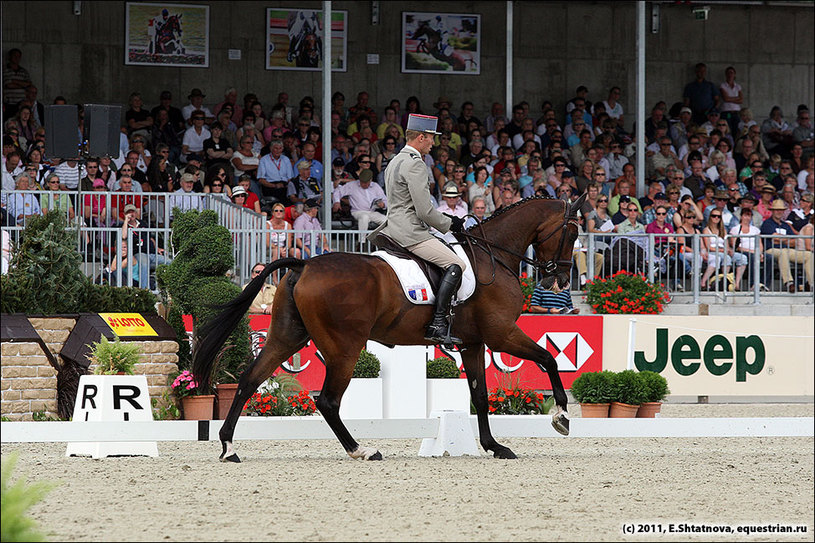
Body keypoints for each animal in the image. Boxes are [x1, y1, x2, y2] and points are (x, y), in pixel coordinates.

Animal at [191, 193, 588, 462]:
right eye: (572, 233)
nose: (559, 280)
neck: (495, 256)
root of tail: (304, 265)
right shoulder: (501, 334)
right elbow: (549, 360)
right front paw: (562, 417)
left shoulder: (473, 343)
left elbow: (480, 395)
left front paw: (494, 446)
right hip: (344, 346)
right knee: (328, 400)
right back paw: (361, 450)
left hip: (287, 336)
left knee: (249, 380)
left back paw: (228, 446)